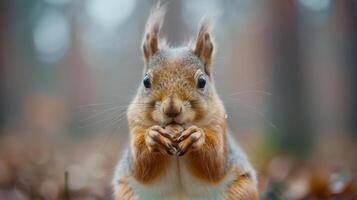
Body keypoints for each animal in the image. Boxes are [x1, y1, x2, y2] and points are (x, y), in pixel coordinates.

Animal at [112, 3, 258, 200]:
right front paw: (153, 137)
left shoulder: (219, 123)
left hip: (242, 190)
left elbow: (215, 163)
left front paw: (197, 136)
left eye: (202, 81)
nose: (171, 109)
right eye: (146, 81)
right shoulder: (135, 124)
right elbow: (141, 166)